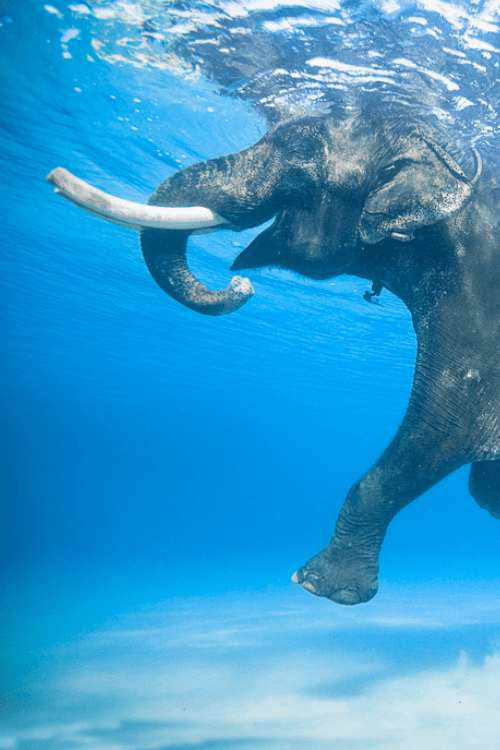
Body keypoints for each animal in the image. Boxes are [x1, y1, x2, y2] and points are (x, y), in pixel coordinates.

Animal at [47, 112, 500, 605]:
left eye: (300, 165)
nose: (242, 287)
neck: (445, 154)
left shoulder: (475, 300)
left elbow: (447, 423)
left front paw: (322, 588)